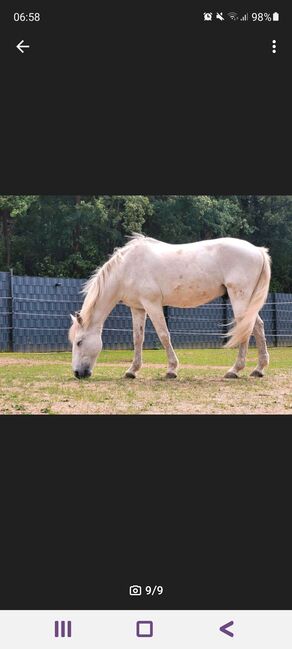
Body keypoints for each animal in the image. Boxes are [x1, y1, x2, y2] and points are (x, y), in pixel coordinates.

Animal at [69, 234, 272, 380]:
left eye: (79, 342)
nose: (78, 373)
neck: (127, 268)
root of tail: (258, 251)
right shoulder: (138, 308)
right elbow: (138, 339)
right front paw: (132, 371)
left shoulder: (152, 304)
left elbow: (164, 335)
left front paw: (171, 370)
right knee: (257, 326)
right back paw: (258, 369)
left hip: (239, 298)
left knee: (246, 329)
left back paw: (235, 370)